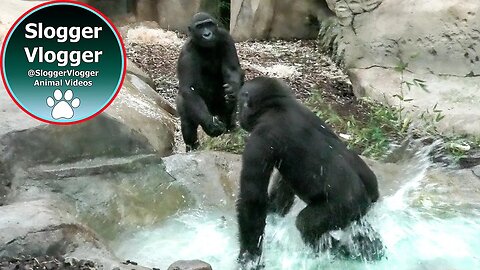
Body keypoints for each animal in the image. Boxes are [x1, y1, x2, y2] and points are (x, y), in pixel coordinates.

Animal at [175, 12, 244, 152]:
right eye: (200, 27)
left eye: (209, 24)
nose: (207, 34)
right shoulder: (186, 52)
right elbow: (189, 89)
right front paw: (210, 125)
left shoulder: (225, 37)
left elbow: (232, 69)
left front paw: (232, 92)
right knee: (185, 110)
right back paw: (192, 147)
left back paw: (231, 127)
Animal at [234, 76, 384, 268]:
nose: (239, 116)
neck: (277, 105)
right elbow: (283, 186)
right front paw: (273, 211)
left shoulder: (259, 140)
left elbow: (253, 201)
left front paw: (249, 257)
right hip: (366, 199)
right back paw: (369, 249)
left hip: (346, 206)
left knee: (306, 225)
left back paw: (342, 252)